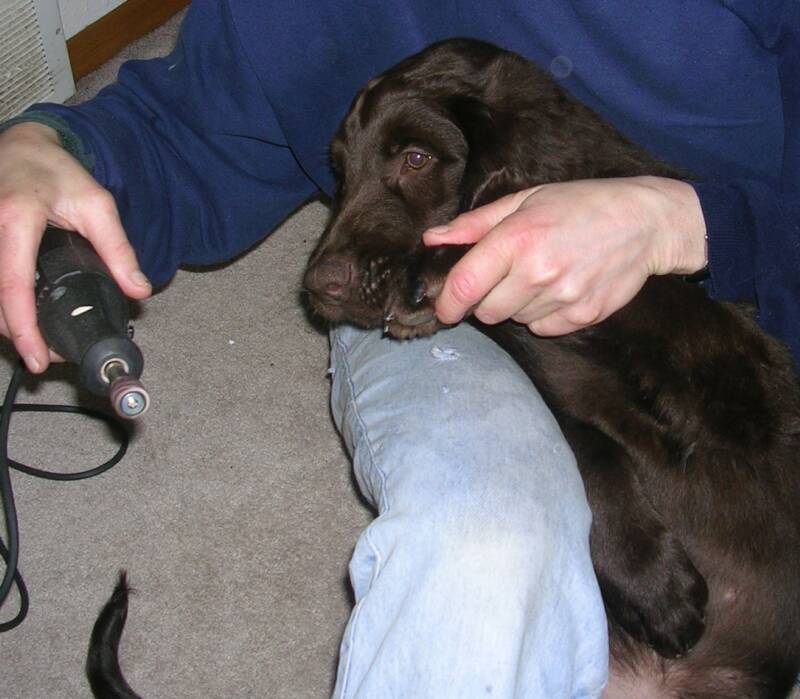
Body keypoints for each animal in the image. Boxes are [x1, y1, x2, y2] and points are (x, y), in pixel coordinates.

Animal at [304, 39, 800, 699]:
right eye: (340, 172)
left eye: (416, 158)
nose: (319, 287)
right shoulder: (553, 385)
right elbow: (592, 453)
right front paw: (655, 583)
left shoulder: (748, 380)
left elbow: (645, 289)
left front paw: (439, 268)